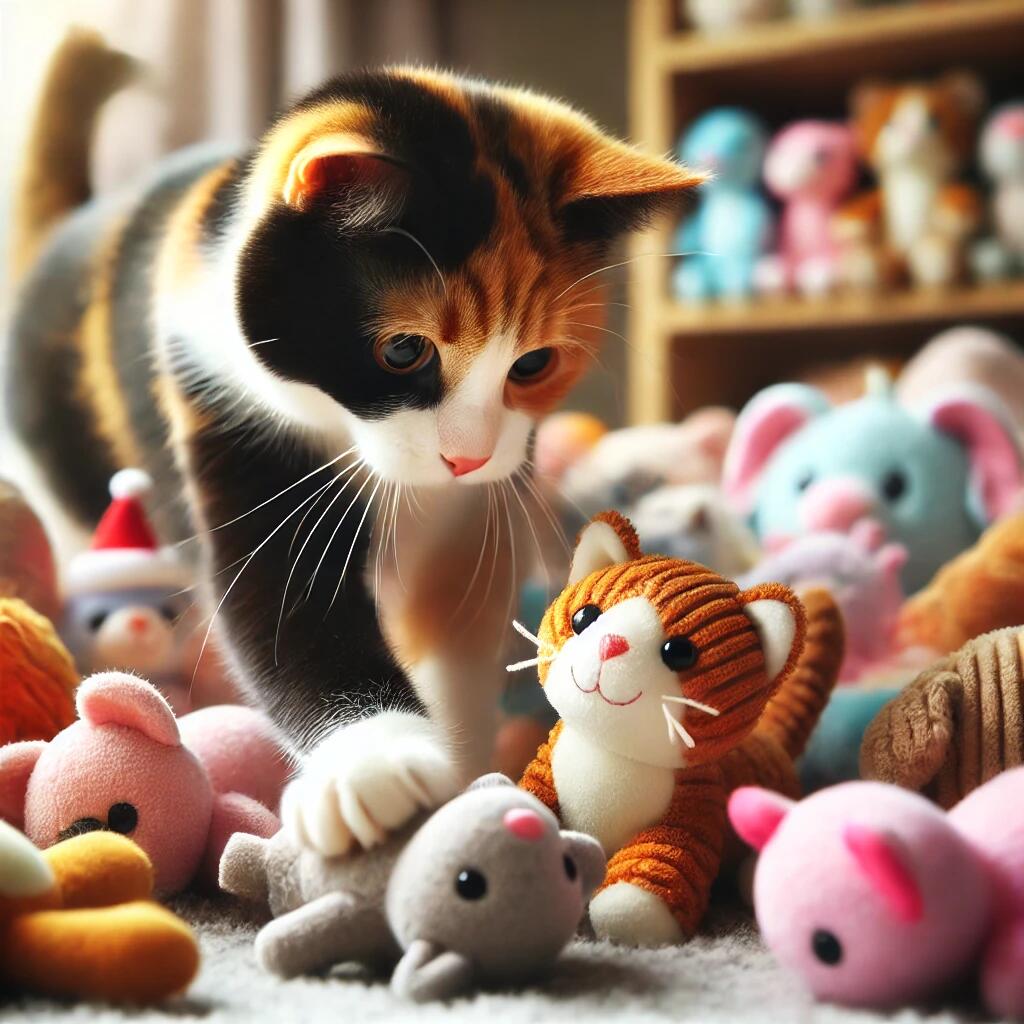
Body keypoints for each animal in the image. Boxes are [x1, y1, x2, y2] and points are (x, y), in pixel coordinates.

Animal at [0, 32, 700, 856]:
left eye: (532, 365)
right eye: (403, 351)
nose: (465, 456)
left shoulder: (473, 516)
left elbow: (458, 631)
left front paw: (469, 782)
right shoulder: (228, 412)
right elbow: (286, 606)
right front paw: (377, 763)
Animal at [520, 516, 839, 946]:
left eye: (679, 652)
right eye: (584, 618)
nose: (612, 644)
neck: (613, 752)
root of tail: (772, 742)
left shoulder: (690, 813)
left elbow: (657, 865)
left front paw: (628, 910)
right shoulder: (545, 770)